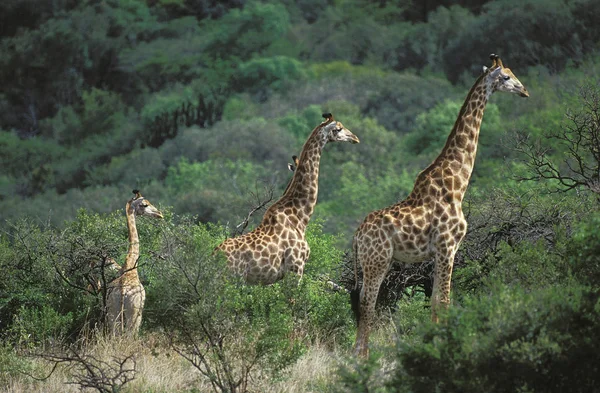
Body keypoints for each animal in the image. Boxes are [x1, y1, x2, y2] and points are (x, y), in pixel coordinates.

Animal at [105, 190, 162, 334]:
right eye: (144, 204)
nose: (159, 214)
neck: (131, 265)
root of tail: (122, 293)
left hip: (112, 312)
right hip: (134, 314)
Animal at [216, 112, 358, 284]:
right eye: (338, 128)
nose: (355, 138)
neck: (299, 216)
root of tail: (214, 256)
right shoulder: (296, 268)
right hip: (232, 279)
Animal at [352, 53, 528, 356]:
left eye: (513, 73)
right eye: (506, 76)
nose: (524, 90)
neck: (458, 183)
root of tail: (356, 236)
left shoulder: (443, 251)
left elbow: (436, 302)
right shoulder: (447, 245)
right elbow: (443, 302)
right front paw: (441, 348)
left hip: (371, 262)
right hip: (378, 260)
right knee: (368, 304)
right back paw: (362, 358)